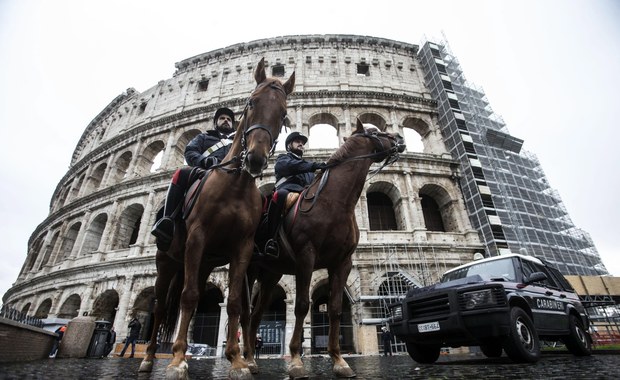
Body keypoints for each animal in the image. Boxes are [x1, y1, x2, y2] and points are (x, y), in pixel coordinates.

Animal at [139, 57, 294, 380]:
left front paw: (236, 360)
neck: (233, 188)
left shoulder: (242, 248)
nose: (256, 158)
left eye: (284, 114)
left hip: (204, 263)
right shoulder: (197, 239)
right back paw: (150, 358)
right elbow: (187, 297)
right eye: (251, 102)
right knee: (161, 306)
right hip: (166, 261)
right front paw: (176, 361)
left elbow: (233, 302)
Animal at [240, 120, 404, 378]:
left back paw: (252, 361)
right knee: (245, 312)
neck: (333, 202)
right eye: (374, 132)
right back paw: (245, 360)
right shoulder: (306, 258)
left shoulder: (343, 263)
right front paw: (296, 361)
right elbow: (301, 306)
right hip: (250, 269)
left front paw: (339, 361)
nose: (399, 139)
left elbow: (335, 308)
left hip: (272, 273)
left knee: (257, 313)